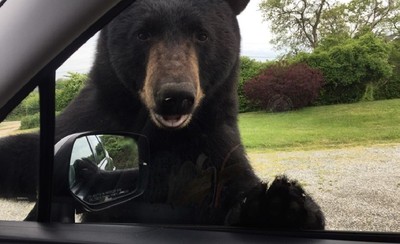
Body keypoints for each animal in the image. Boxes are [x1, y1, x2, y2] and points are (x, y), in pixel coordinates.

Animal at [0, 0, 324, 229]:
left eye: (202, 34)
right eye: (143, 33)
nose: (175, 98)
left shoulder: (214, 140)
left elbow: (233, 184)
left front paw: (280, 206)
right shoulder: (92, 115)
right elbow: (34, 153)